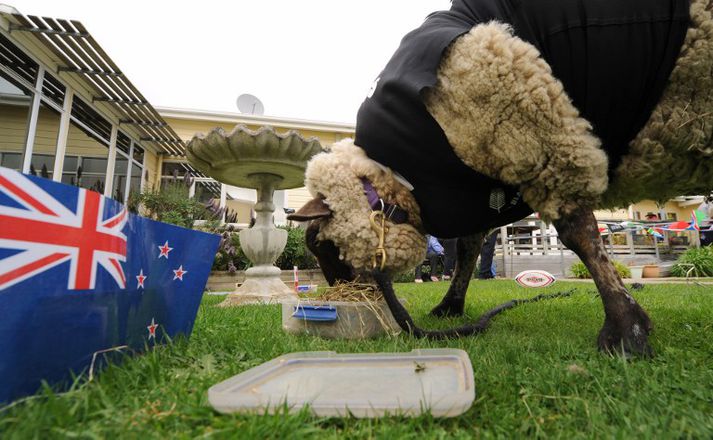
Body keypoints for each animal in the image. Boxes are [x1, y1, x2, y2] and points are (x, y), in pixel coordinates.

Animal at [286, 0, 712, 356]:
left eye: (319, 243)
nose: (341, 292)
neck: (403, 173)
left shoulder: (542, 143)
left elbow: (580, 236)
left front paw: (626, 329)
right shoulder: (483, 180)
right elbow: (469, 247)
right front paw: (450, 305)